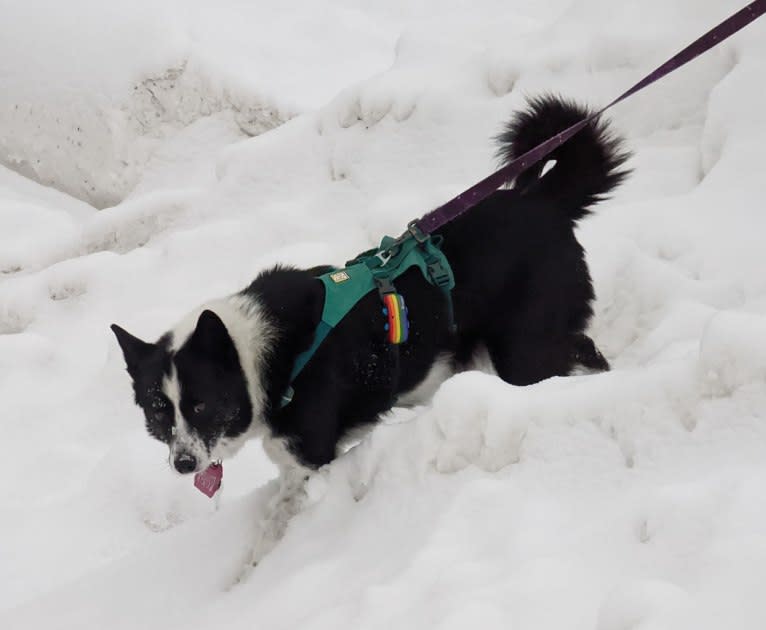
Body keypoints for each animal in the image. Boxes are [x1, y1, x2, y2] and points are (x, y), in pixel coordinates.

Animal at [112, 95, 632, 564]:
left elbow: (274, 526)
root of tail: (542, 201)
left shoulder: (308, 457)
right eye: (159, 411)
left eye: (201, 404)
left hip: (521, 347)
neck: (259, 357)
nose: (184, 464)